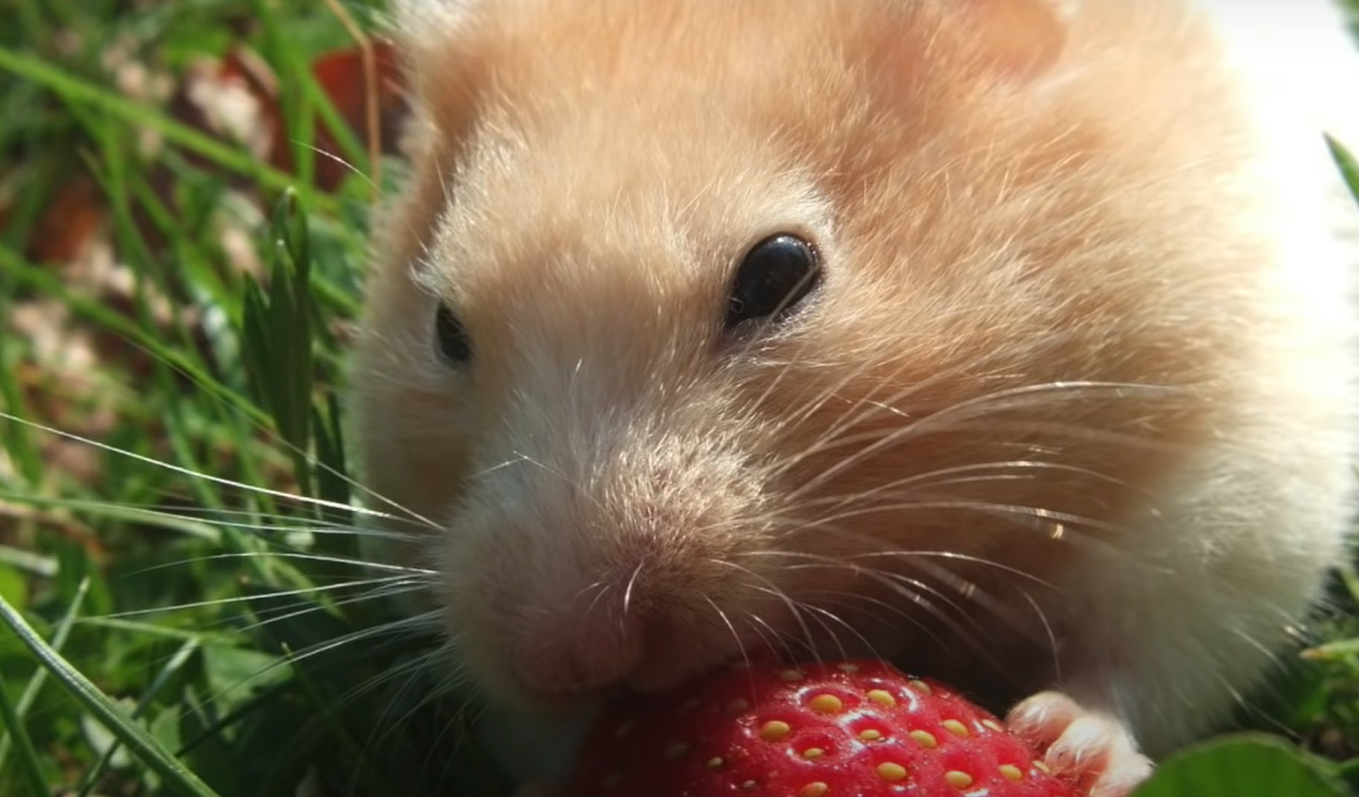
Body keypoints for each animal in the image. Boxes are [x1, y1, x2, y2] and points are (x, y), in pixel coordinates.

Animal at [349, 1, 1359, 795]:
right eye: (445, 326)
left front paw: (1061, 742)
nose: (565, 656)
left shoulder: (1224, 501)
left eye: (778, 271)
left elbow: (1136, 664)